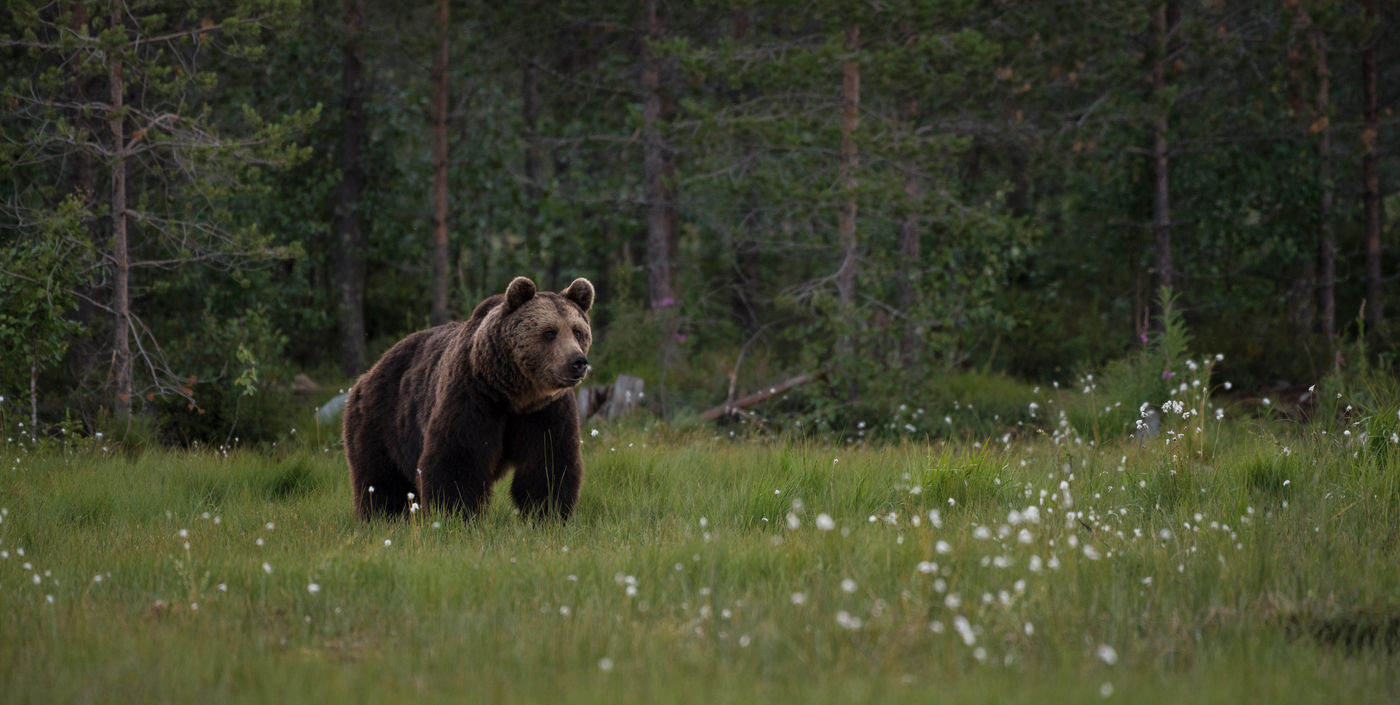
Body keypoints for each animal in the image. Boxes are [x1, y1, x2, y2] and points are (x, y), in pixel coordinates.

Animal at [348, 278, 596, 520]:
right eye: (549, 332)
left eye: (577, 331)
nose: (578, 362)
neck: (513, 394)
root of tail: (372, 369)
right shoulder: (473, 396)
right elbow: (458, 457)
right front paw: (456, 513)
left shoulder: (546, 410)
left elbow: (548, 460)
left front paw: (547, 513)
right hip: (382, 419)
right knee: (382, 479)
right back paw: (381, 516)